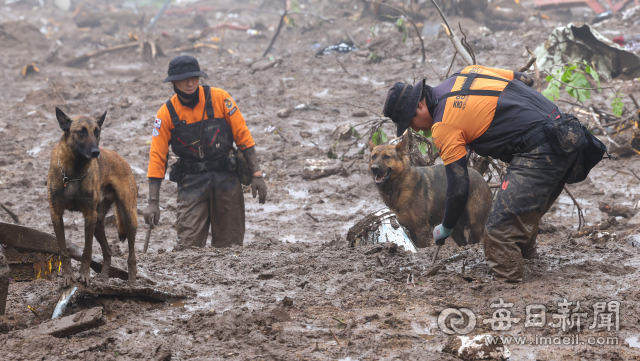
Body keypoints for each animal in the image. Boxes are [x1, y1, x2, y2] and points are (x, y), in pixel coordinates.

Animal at [47, 107, 139, 284]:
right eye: (81, 131)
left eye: (97, 132)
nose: (96, 152)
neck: (74, 173)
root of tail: (121, 158)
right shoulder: (56, 214)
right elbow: (63, 250)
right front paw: (68, 276)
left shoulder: (89, 215)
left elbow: (87, 250)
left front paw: (84, 275)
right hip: (98, 223)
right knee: (108, 252)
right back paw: (103, 278)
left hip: (128, 215)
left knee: (132, 255)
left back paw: (132, 282)